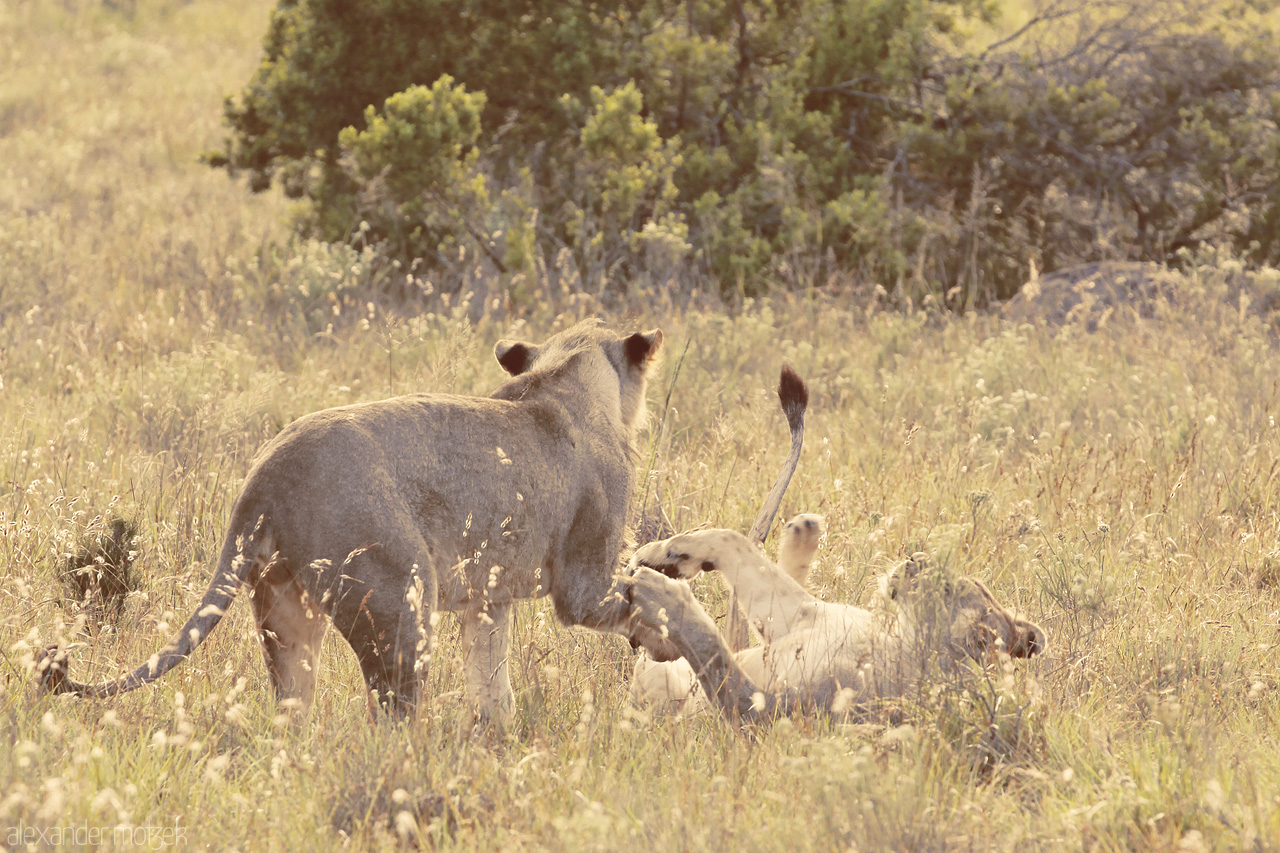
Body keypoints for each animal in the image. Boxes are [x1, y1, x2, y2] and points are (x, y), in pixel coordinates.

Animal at [624, 525, 1044, 717]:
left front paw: (661, 594)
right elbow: (733, 543)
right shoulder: (800, 614)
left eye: (945, 586)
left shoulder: (767, 712)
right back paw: (802, 533)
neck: (893, 639)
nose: (915, 557)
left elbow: (710, 647)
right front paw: (660, 554)